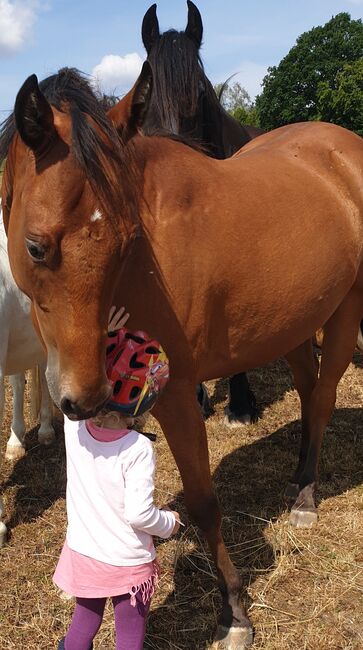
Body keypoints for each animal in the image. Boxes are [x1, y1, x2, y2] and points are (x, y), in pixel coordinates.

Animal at [2, 68, 363, 644]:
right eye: (36, 247)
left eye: (128, 238)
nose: (84, 398)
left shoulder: (173, 395)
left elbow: (203, 501)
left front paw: (234, 612)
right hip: (293, 324)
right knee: (309, 392)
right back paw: (297, 476)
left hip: (346, 309)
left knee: (324, 397)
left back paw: (306, 496)